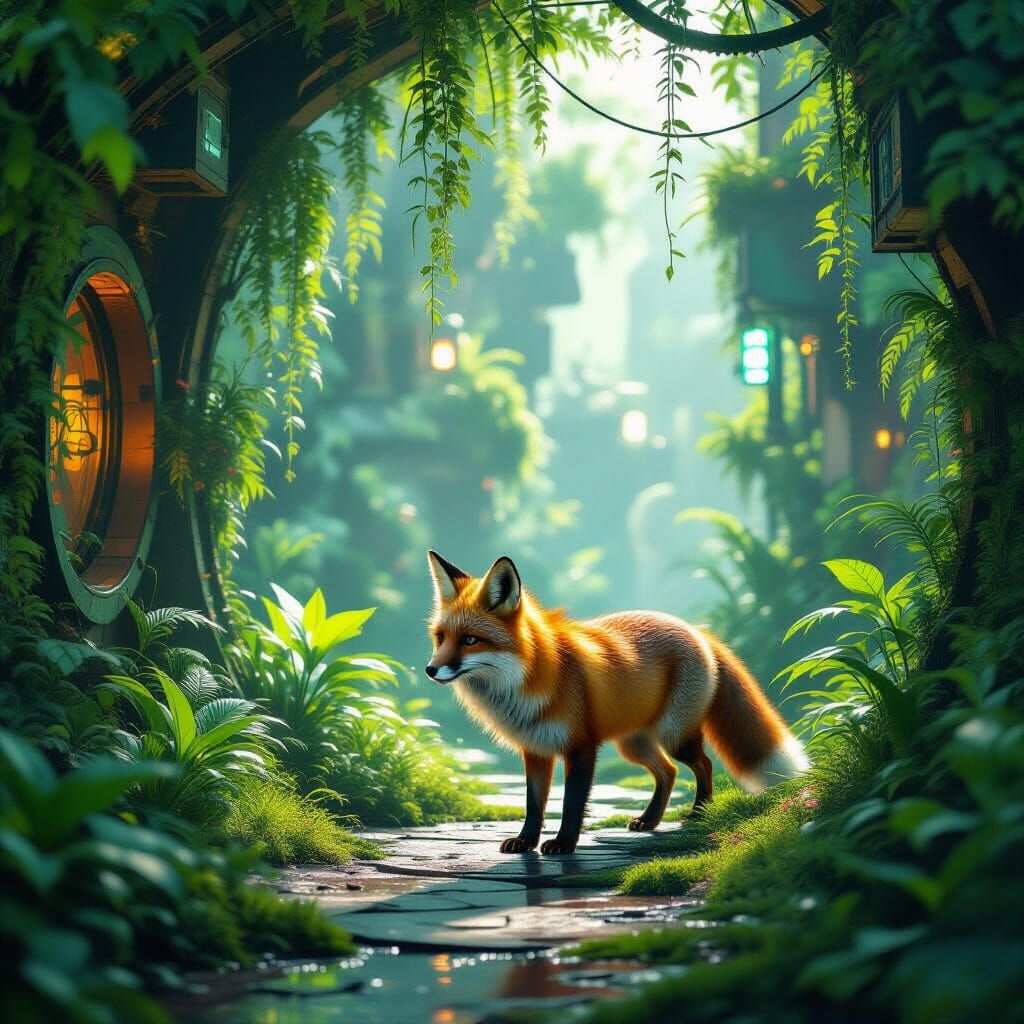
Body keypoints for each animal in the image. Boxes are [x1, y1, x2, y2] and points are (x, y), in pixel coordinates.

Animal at [425, 550, 810, 855]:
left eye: (470, 640)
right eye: (441, 638)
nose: (430, 670)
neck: (525, 682)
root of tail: (696, 630)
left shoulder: (581, 747)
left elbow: (572, 803)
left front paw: (563, 844)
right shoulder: (534, 749)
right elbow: (534, 805)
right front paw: (525, 841)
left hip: (674, 736)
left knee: (703, 764)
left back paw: (699, 813)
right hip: (634, 744)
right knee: (668, 772)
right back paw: (649, 820)